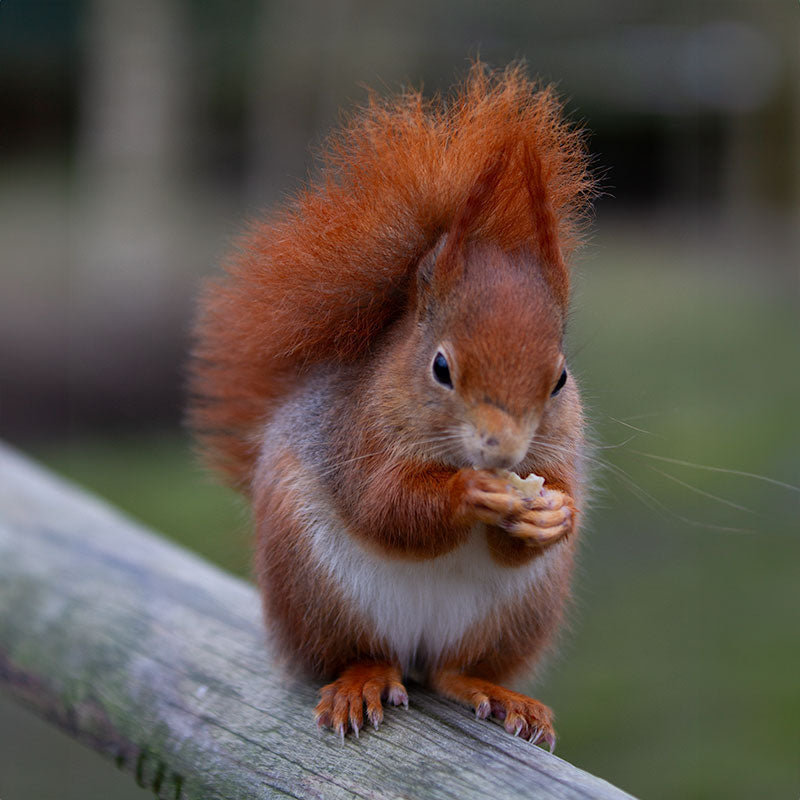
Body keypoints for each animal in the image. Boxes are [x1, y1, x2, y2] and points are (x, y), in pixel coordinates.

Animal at [191, 64, 592, 752]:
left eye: (560, 379)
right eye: (440, 367)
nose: (503, 451)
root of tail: (415, 649)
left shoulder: (560, 447)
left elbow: (541, 513)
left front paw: (555, 512)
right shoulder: (357, 434)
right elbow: (385, 506)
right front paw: (469, 492)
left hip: (516, 614)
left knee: (456, 669)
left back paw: (492, 691)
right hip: (315, 585)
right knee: (358, 652)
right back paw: (362, 682)